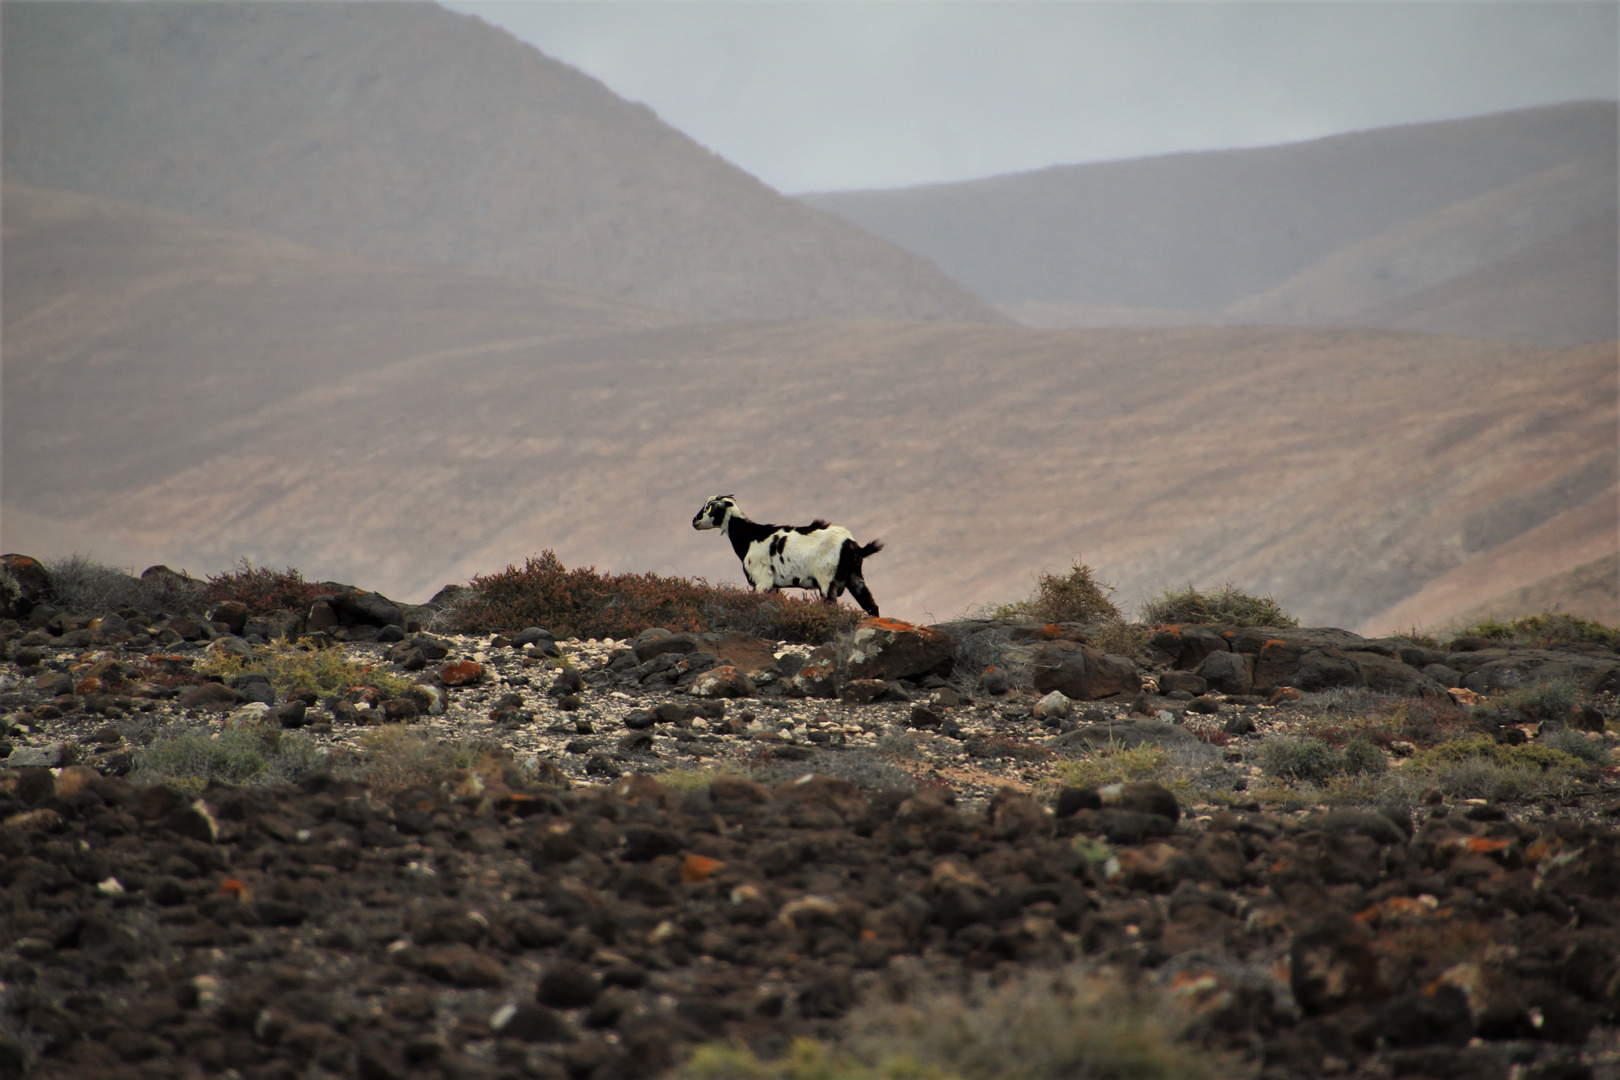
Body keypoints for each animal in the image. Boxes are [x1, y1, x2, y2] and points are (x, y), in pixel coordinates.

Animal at [690, 495, 881, 615]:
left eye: (709, 507)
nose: (694, 521)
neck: (751, 537)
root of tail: (853, 546)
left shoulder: (762, 581)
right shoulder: (774, 586)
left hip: (827, 581)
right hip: (855, 578)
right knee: (872, 607)